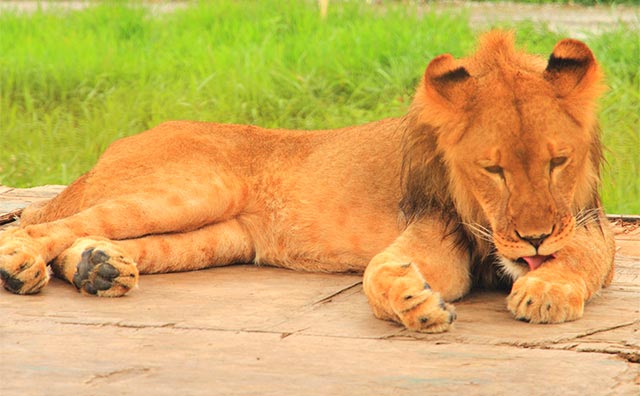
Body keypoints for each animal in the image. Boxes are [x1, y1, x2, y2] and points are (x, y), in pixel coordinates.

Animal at [0, 31, 616, 334]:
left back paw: (98, 269)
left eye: (558, 162)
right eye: (493, 170)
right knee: (46, 222)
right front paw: (414, 301)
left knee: (95, 237)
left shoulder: (588, 226)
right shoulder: (435, 226)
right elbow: (377, 274)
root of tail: (117, 144)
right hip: (196, 190)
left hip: (219, 237)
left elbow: (576, 259)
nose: (534, 238)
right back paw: (21, 266)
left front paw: (545, 290)